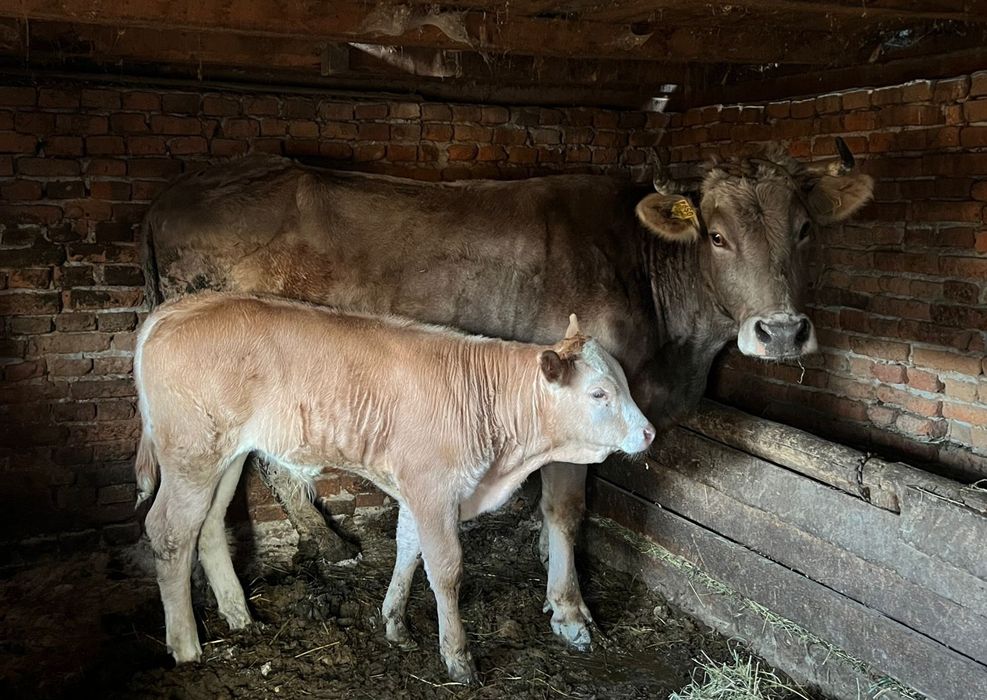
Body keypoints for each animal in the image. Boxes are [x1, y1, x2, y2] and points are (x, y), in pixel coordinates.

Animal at [134, 293, 654, 683]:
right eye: (599, 393)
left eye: (625, 383)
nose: (649, 433)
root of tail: (175, 309)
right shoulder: (432, 486)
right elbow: (445, 570)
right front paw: (458, 658)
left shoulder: (415, 488)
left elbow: (407, 547)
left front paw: (394, 622)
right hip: (191, 453)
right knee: (168, 532)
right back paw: (186, 646)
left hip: (228, 456)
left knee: (207, 527)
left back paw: (239, 615)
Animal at [143, 139, 873, 650]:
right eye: (716, 236)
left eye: (804, 230)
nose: (782, 332)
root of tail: (180, 191)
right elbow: (566, 508)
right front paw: (571, 611)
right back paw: (322, 547)